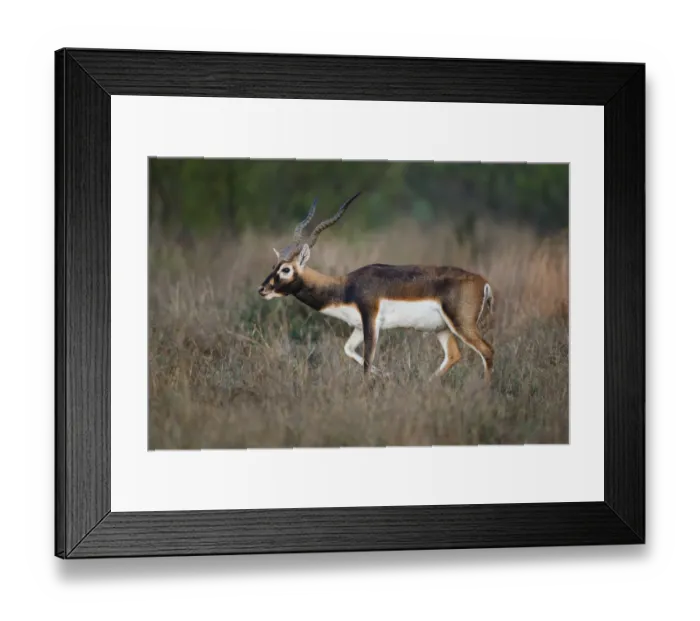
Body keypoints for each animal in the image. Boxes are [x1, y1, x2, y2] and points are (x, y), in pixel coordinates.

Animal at [258, 192, 495, 381]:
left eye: (286, 269)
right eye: (273, 266)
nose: (263, 289)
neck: (346, 287)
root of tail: (483, 283)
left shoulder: (371, 321)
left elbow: (366, 362)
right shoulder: (358, 326)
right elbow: (348, 350)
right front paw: (386, 374)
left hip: (461, 324)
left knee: (488, 351)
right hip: (442, 328)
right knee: (454, 355)